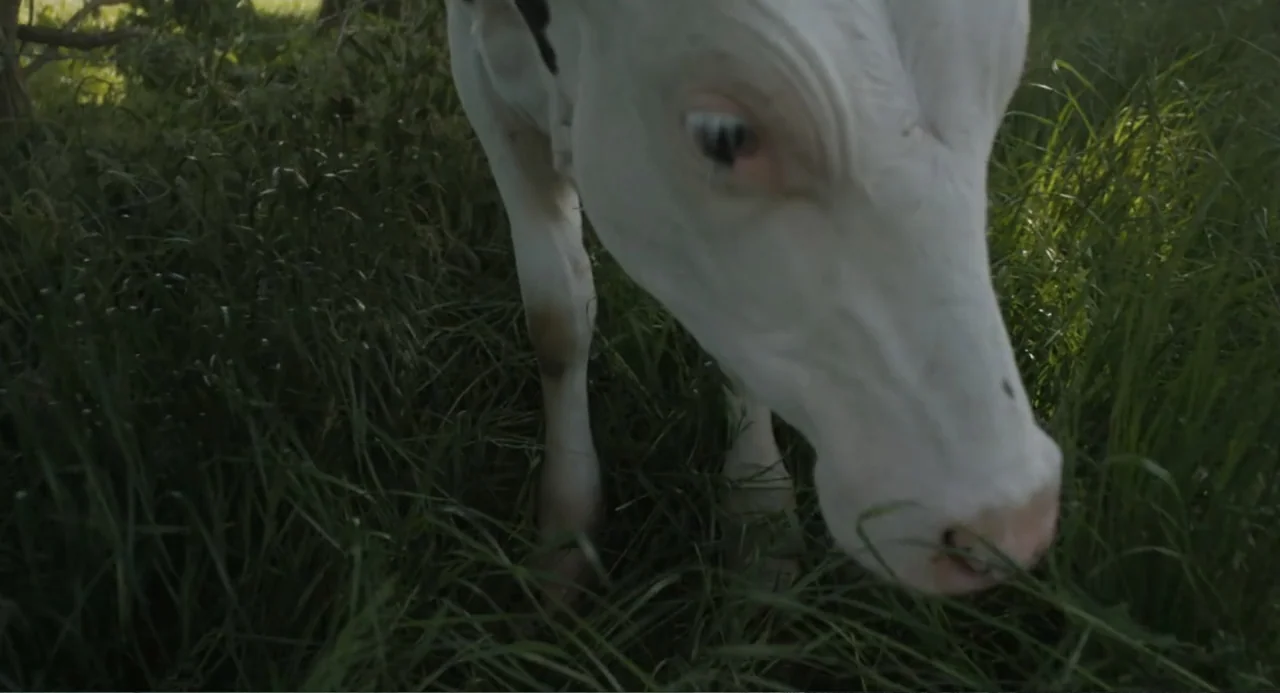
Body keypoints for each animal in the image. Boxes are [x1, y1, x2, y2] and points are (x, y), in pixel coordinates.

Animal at [446, 0, 1063, 607]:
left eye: (1001, 92)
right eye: (723, 135)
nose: (1011, 527)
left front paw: (761, 524)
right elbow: (557, 316)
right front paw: (566, 535)